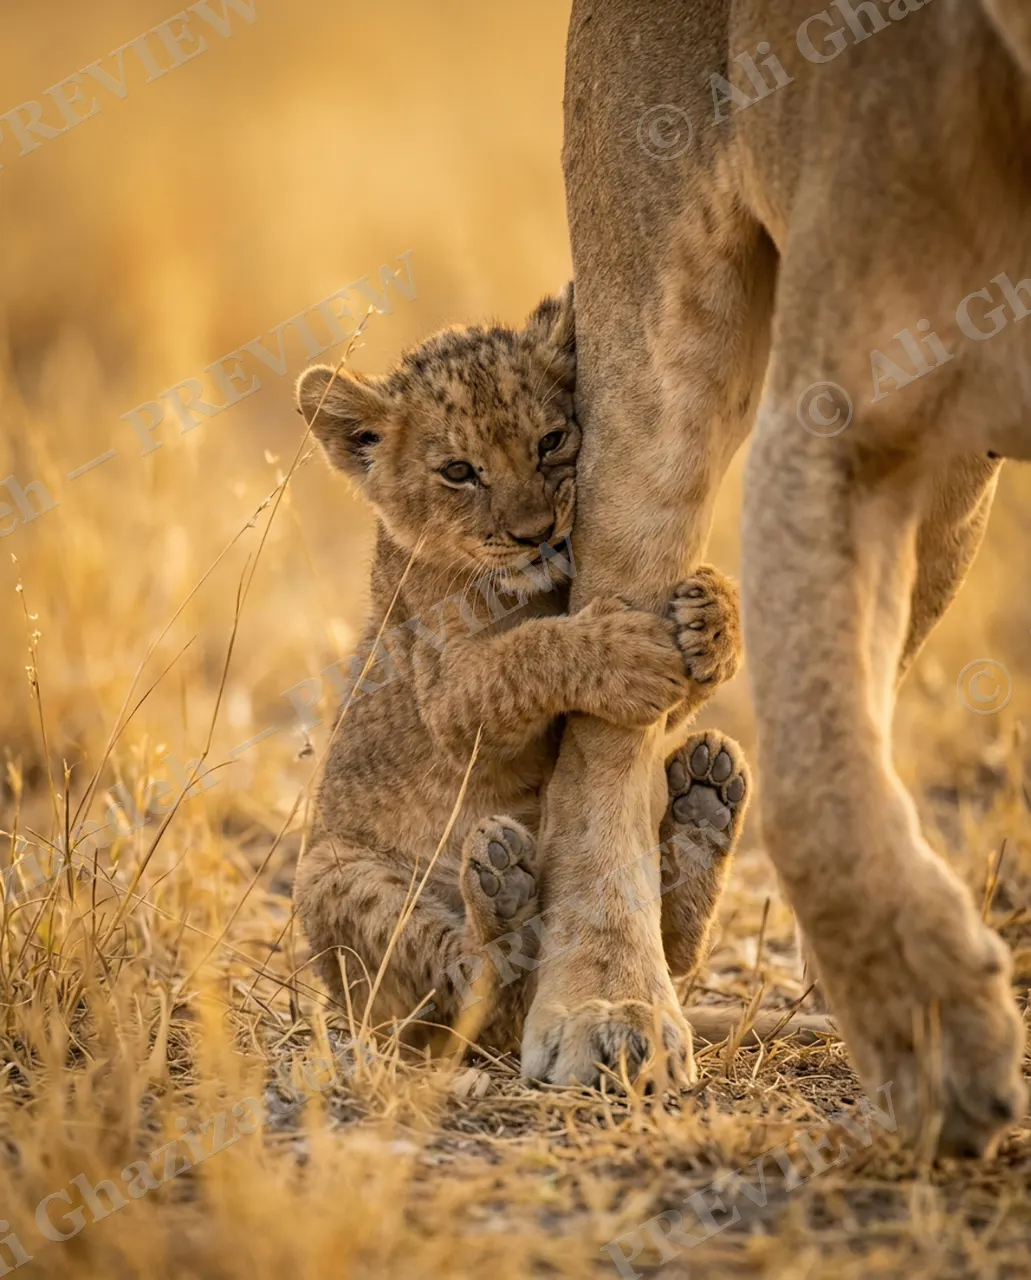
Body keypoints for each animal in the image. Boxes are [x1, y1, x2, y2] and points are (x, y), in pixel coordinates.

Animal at [291, 288, 748, 1065]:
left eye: (552, 441)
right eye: (458, 472)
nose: (536, 533)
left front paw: (714, 617)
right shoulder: (449, 698)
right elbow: (525, 656)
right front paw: (622, 652)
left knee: (673, 949)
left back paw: (705, 802)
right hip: (333, 877)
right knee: (478, 997)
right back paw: (502, 892)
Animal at [521, 0, 1029, 1157]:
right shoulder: (837, 432)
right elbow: (812, 780)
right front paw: (932, 1030)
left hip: (957, 492)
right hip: (666, 331)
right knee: (603, 715)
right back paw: (606, 999)